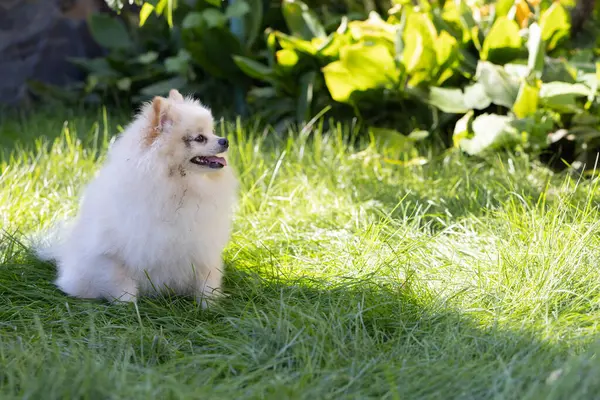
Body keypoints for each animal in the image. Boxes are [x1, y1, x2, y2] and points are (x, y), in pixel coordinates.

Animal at [35, 89, 239, 304]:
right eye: (200, 138)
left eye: (212, 132)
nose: (225, 140)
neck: (179, 186)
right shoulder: (115, 255)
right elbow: (123, 283)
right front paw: (128, 306)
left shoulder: (203, 249)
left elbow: (206, 281)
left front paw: (209, 304)